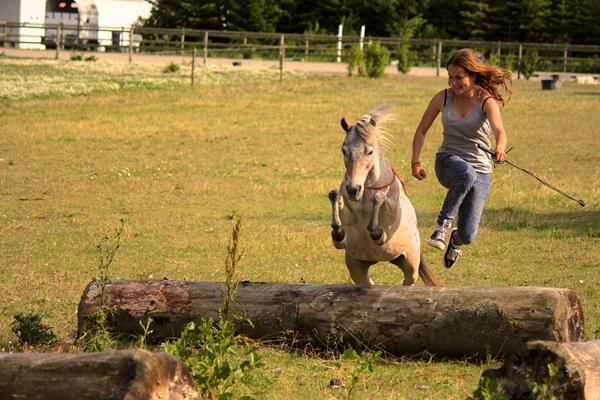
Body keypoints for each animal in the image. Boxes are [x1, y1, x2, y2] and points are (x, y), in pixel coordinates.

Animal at [330, 105, 438, 288]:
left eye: (369, 151)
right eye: (344, 150)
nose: (353, 189)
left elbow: (379, 201)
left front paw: (376, 231)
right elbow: (336, 199)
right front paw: (337, 231)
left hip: (410, 264)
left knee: (408, 282)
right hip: (357, 267)